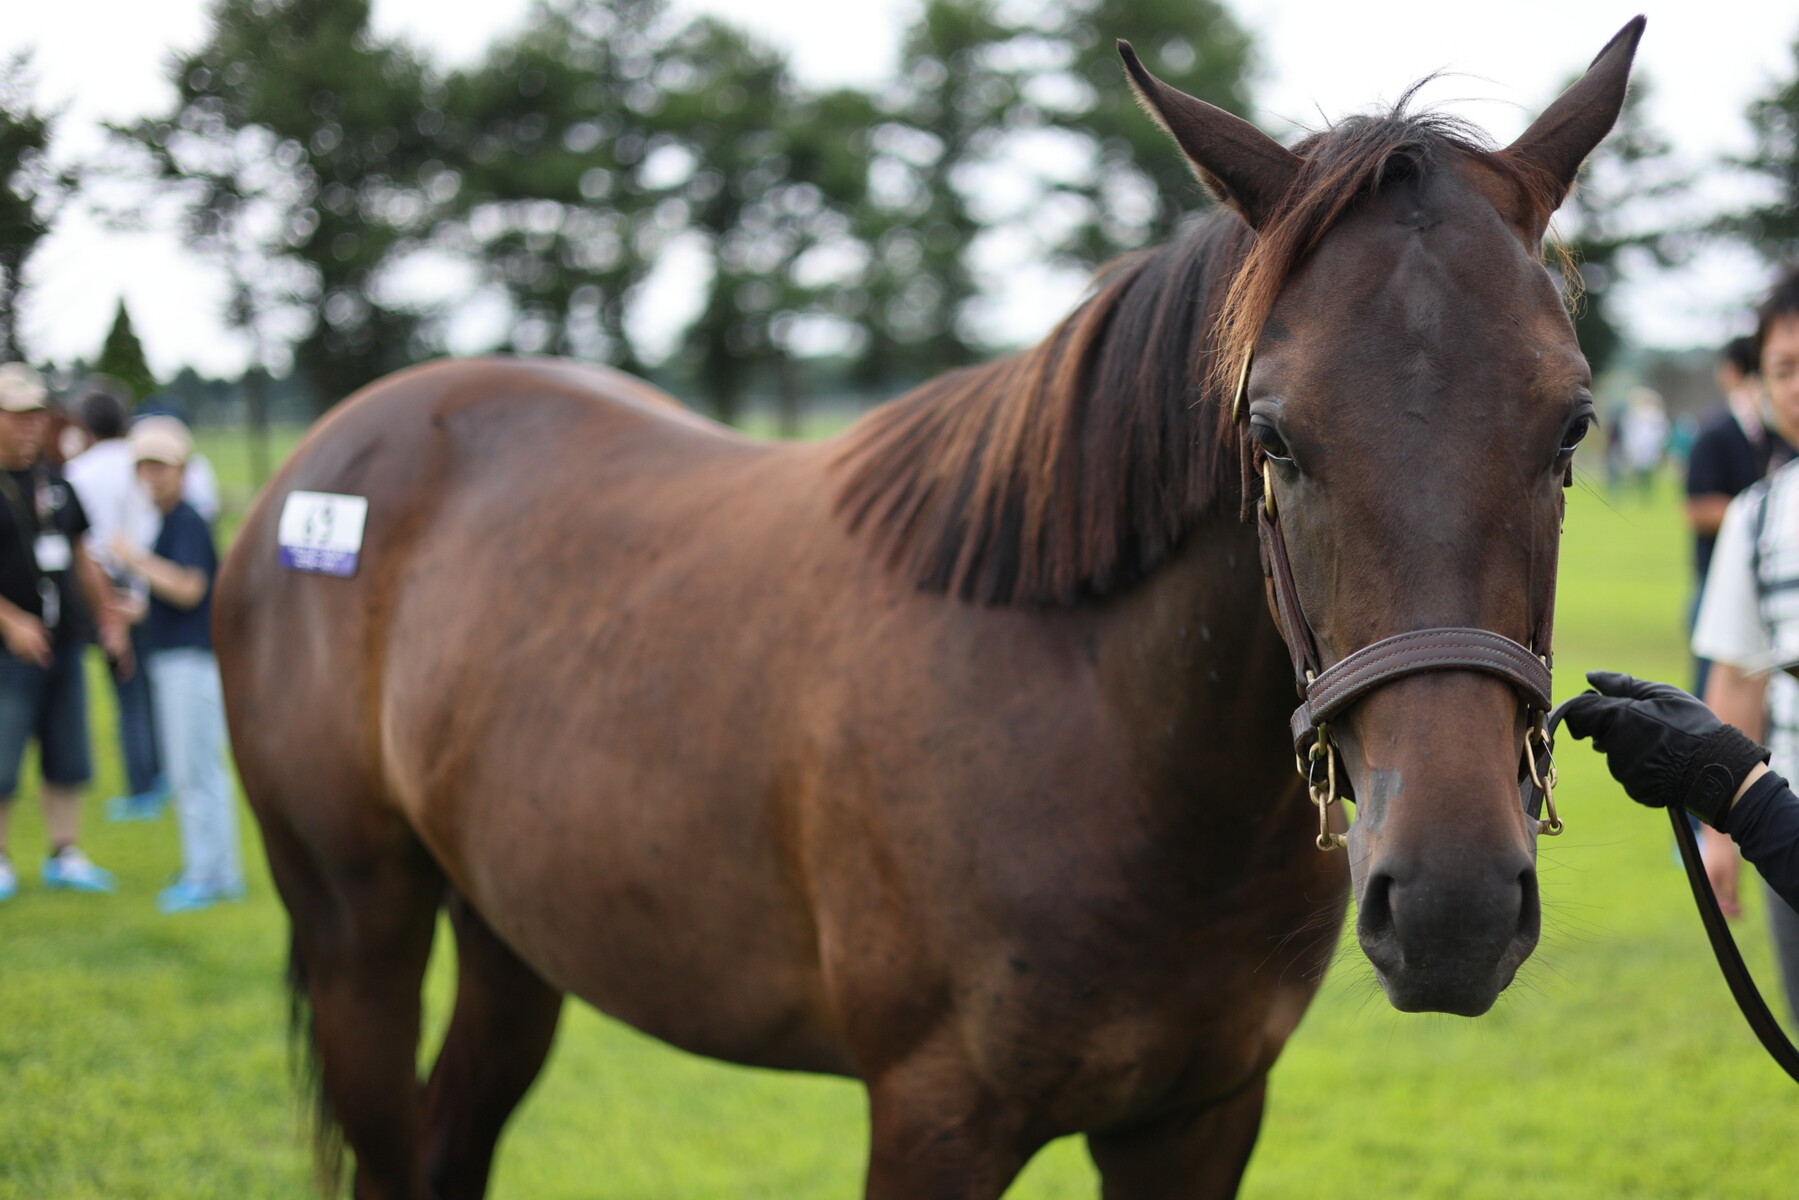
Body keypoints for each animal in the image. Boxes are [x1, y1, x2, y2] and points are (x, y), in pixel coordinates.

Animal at [215, 18, 1643, 1199]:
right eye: (1271, 433)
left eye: (1571, 424)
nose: (1452, 903)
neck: (1107, 731)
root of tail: (326, 452)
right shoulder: (933, 1119)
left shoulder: (1196, 1119)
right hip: (358, 937)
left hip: (513, 937)